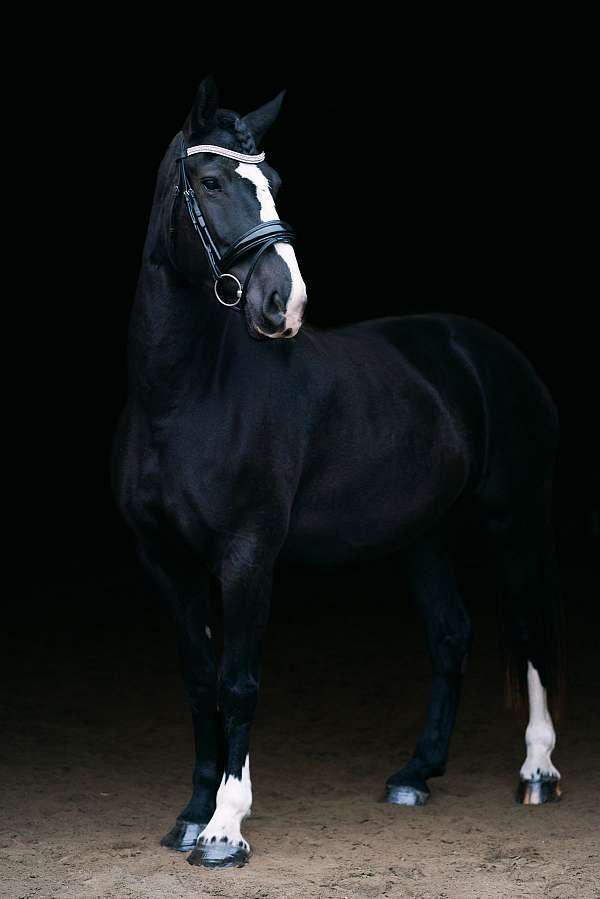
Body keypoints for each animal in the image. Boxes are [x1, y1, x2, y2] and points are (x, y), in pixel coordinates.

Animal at [112, 77, 563, 869]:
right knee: (452, 634)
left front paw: (226, 829)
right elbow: (199, 682)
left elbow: (238, 681)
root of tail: (489, 350)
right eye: (211, 182)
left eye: (275, 180)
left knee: (531, 631)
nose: (282, 303)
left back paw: (537, 771)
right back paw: (416, 773)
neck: (183, 397)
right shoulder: (165, 560)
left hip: (514, 521)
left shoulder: (247, 554)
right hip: (426, 536)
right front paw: (192, 816)